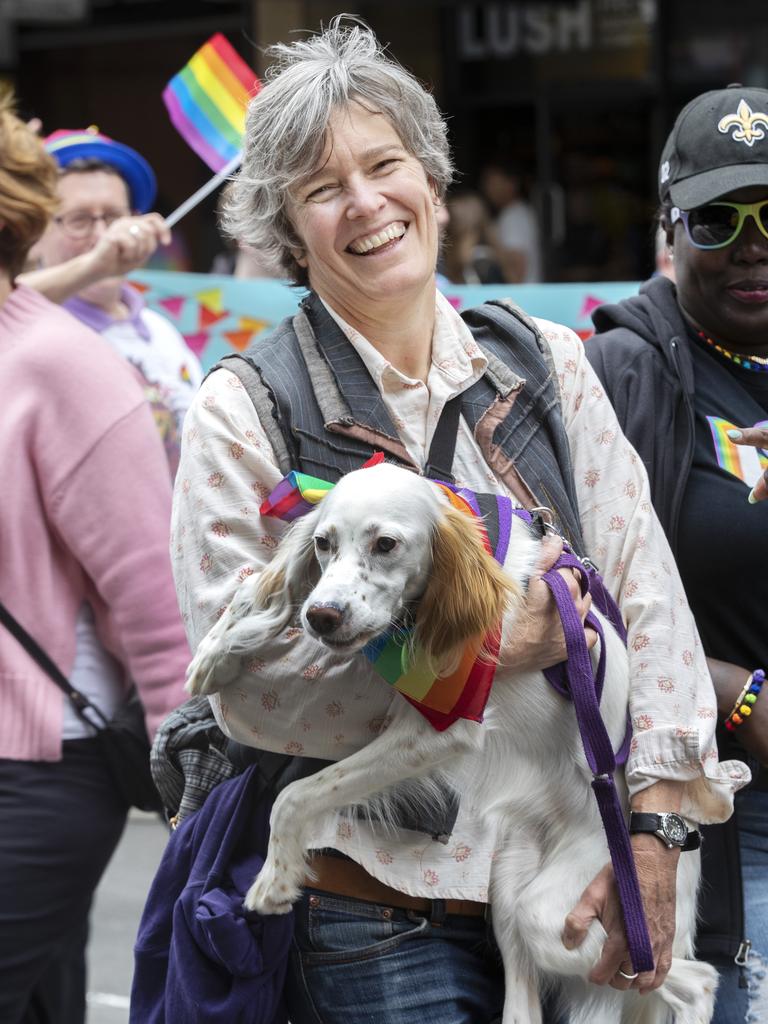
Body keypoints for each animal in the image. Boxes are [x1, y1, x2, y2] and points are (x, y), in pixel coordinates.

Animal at [189, 462, 720, 1024]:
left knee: (698, 980)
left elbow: (294, 796)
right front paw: (215, 652)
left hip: (578, 906)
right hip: (508, 887)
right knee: (526, 1005)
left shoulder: (442, 727)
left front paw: (275, 877)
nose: (322, 616)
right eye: (323, 543)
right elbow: (252, 591)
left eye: (385, 544)